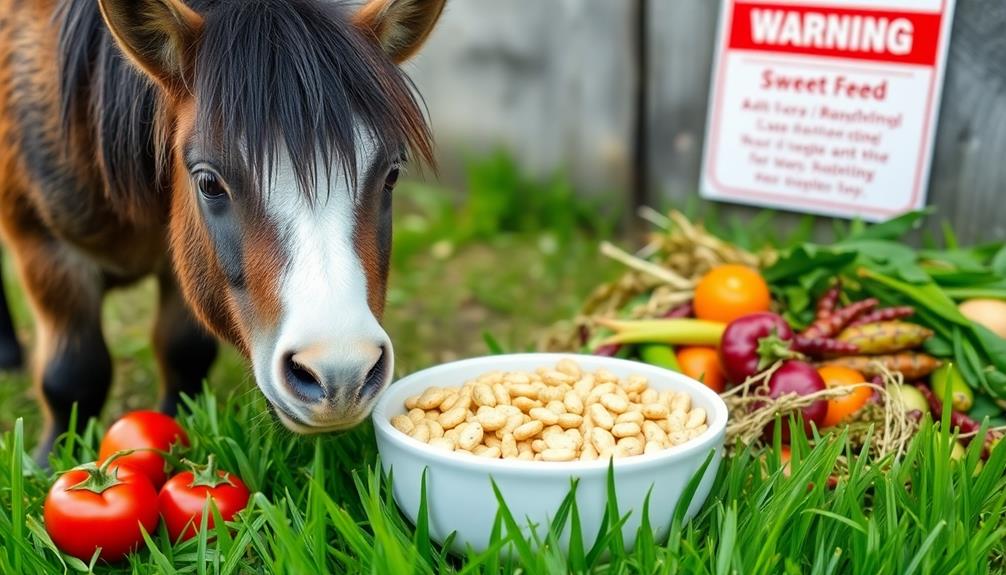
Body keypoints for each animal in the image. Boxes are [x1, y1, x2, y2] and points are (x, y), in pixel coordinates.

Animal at [0, 0, 444, 458]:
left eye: (392, 174)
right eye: (210, 183)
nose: (341, 374)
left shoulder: (180, 263)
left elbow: (184, 350)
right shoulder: (44, 247)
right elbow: (74, 374)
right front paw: (51, 459)